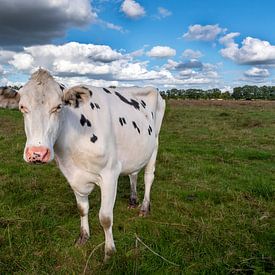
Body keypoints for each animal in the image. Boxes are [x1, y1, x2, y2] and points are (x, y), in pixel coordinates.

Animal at [17, 69, 166, 260]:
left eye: (58, 107)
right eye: (22, 107)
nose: (37, 153)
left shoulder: (110, 174)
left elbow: (105, 218)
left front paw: (109, 252)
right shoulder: (73, 175)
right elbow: (82, 209)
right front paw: (83, 237)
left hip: (155, 143)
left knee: (148, 176)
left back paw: (145, 208)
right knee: (133, 173)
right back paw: (133, 200)